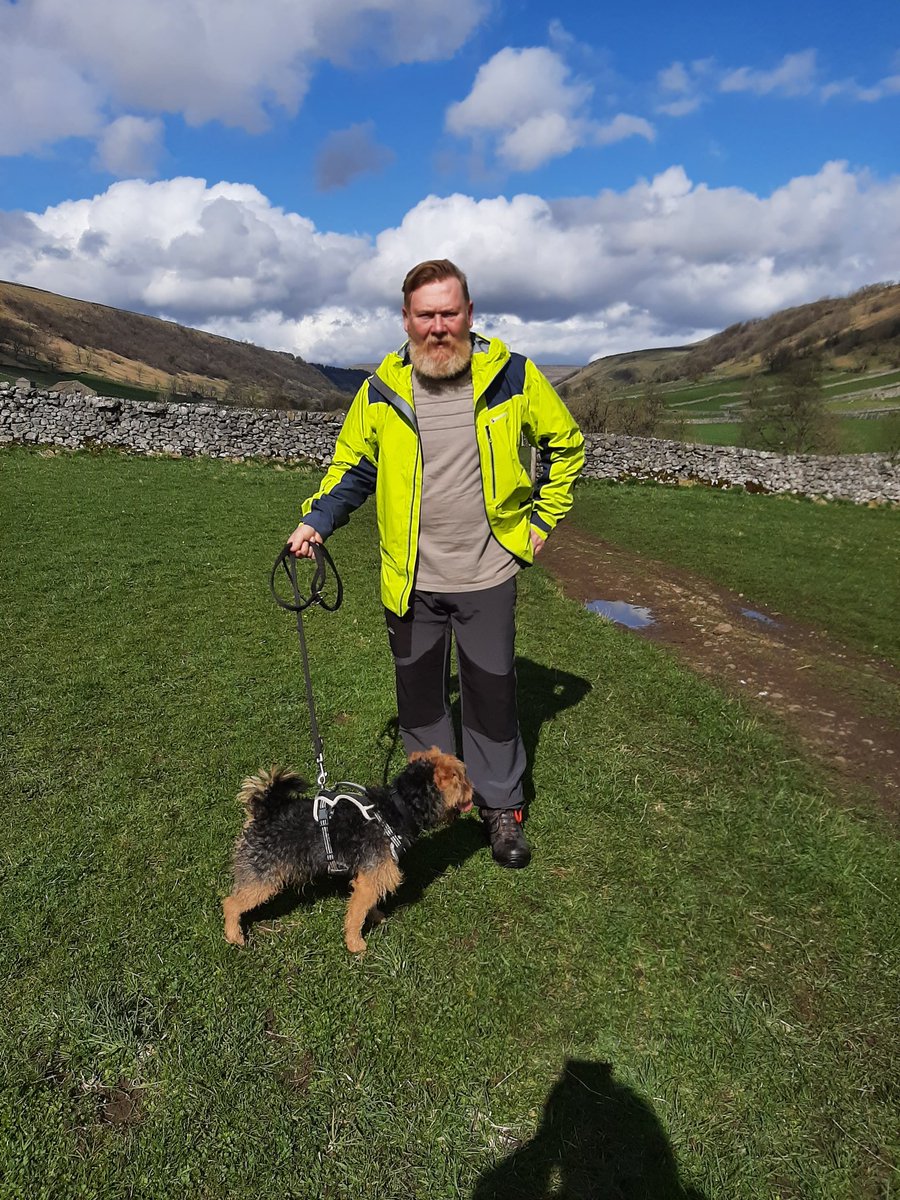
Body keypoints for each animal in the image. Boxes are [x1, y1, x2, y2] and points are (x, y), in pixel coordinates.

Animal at [223, 744, 475, 950]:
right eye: (462, 780)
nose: (474, 791)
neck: (397, 808)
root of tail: (265, 810)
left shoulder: (370, 875)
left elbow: (368, 905)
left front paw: (375, 917)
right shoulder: (372, 875)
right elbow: (355, 914)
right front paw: (355, 945)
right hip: (263, 878)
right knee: (230, 903)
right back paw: (234, 936)